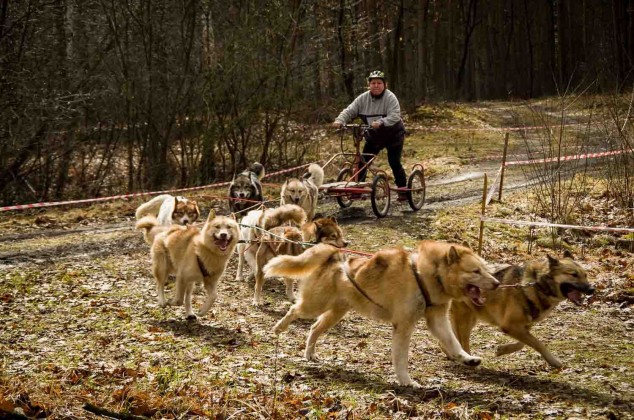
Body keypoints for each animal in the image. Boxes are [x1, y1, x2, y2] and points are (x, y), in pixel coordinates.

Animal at [262, 240, 498, 388]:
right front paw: (406, 381)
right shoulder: (403, 326)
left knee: (313, 329)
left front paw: (467, 359)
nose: (496, 283)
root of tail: (333, 255)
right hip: (314, 305)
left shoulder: (437, 321)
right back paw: (279, 327)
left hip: (334, 314)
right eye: (475, 271)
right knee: (294, 310)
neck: (425, 275)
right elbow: (401, 359)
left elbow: (454, 344)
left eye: (485, 269)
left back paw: (309, 354)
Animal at [446, 251, 592, 366]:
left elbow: (522, 344)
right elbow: (538, 343)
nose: (592, 289)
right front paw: (553, 360)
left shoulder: (524, 326)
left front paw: (503, 349)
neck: (536, 285)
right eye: (573, 274)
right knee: (462, 341)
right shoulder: (509, 326)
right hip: (465, 319)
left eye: (585, 275)